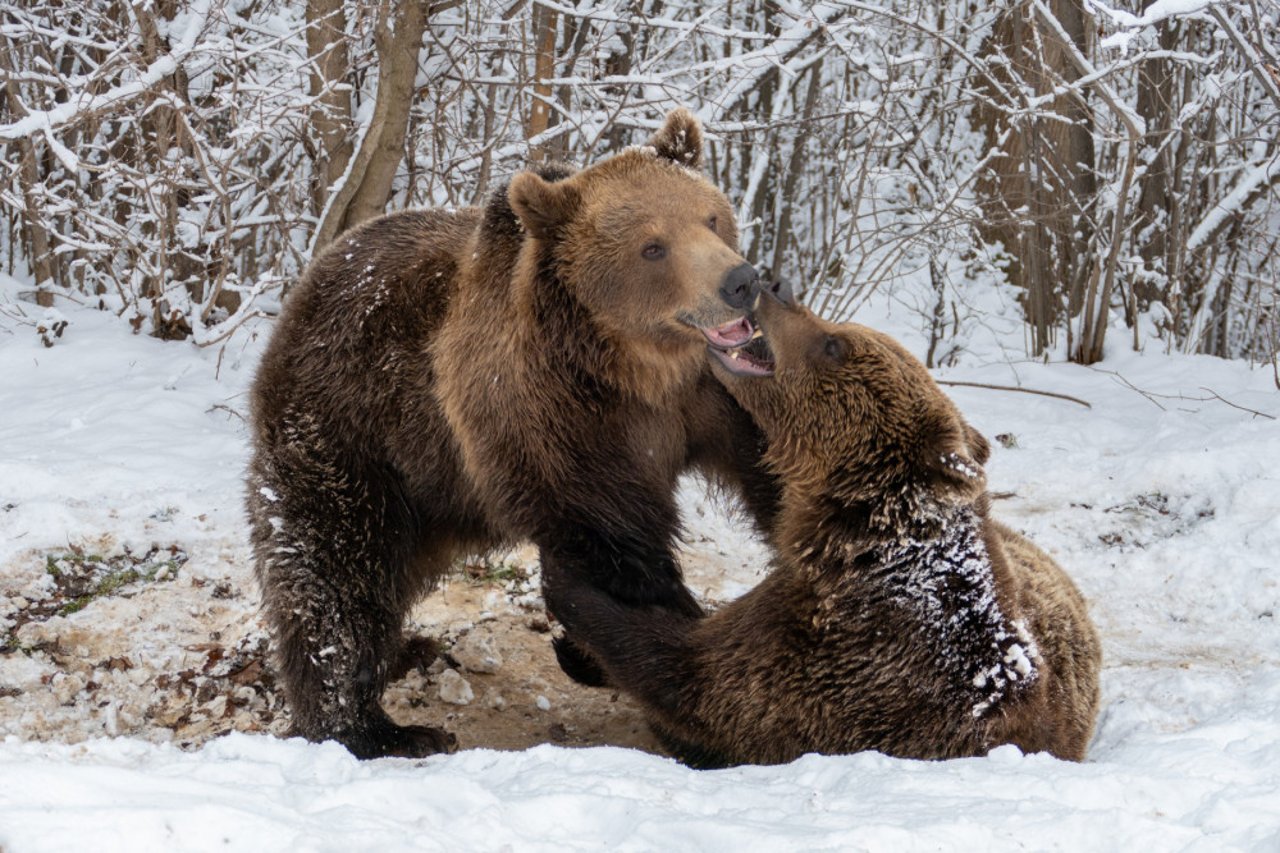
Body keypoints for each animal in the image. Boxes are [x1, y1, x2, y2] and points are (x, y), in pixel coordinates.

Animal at [243, 108, 773, 758]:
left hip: (434, 486)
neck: (641, 371)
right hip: (351, 431)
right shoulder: (556, 419)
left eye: (711, 216)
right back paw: (376, 728)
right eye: (653, 246)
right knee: (335, 572)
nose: (740, 281)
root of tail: (307, 286)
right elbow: (617, 544)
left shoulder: (714, 396)